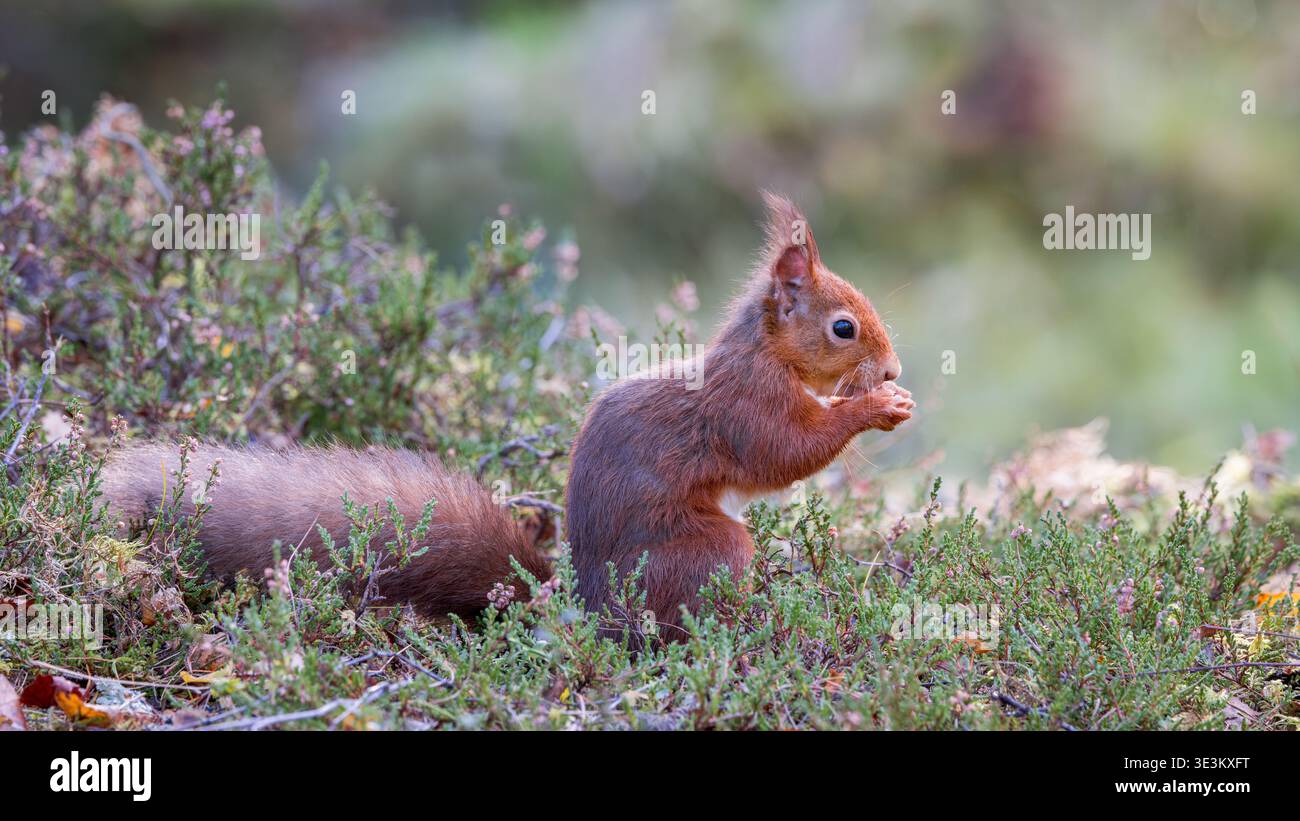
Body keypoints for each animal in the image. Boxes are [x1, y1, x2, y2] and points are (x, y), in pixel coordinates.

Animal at [101, 192, 912, 636]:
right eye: (843, 328)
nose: (895, 369)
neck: (764, 351)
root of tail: (588, 610)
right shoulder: (746, 403)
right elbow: (783, 450)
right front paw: (873, 406)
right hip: (707, 551)